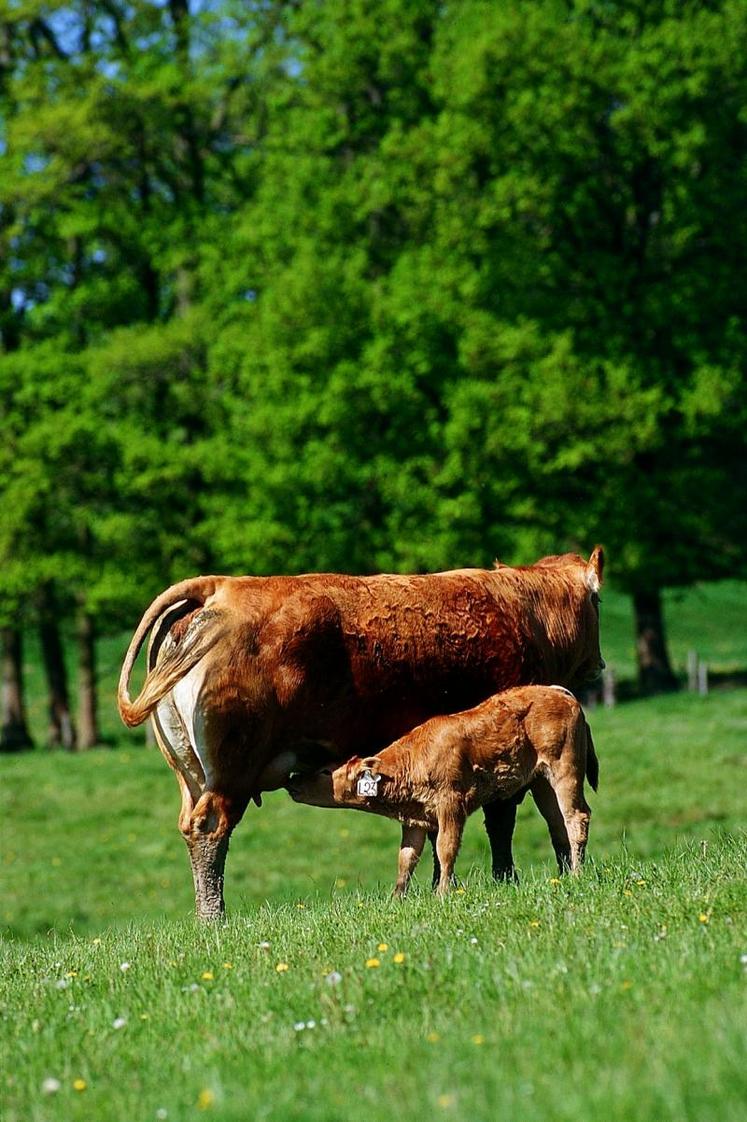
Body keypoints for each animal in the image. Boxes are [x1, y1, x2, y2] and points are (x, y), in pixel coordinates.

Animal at [287, 682, 596, 893]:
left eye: (326, 770)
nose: (293, 780)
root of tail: (558, 690)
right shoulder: (416, 820)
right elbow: (406, 859)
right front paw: (397, 898)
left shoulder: (451, 806)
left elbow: (445, 848)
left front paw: (443, 893)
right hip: (542, 782)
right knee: (557, 823)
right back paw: (565, 873)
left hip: (565, 770)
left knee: (576, 817)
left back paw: (577, 875)